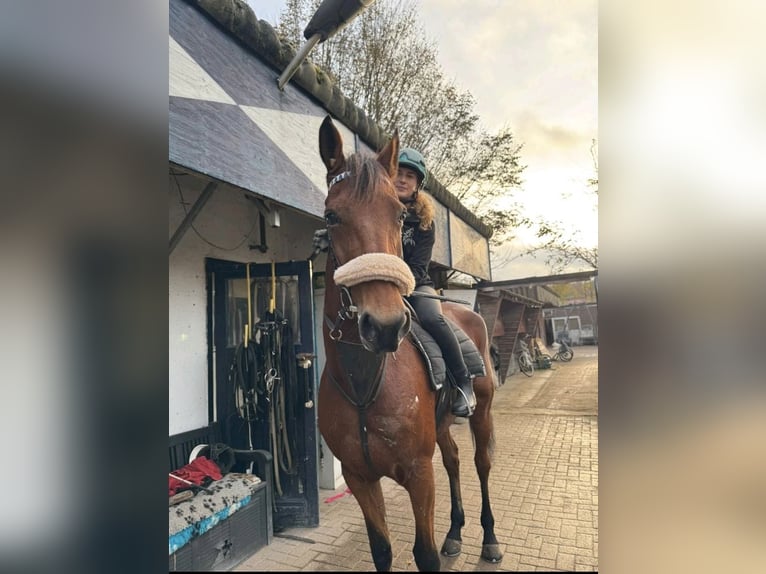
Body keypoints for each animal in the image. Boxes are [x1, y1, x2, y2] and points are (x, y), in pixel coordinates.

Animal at [316, 115, 503, 571]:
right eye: (331, 215)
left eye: (401, 216)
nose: (384, 325)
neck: (365, 384)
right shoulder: (359, 478)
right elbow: (382, 551)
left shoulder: (418, 473)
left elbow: (425, 555)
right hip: (442, 426)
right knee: (453, 459)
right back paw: (455, 533)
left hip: (482, 412)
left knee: (480, 463)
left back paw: (489, 540)